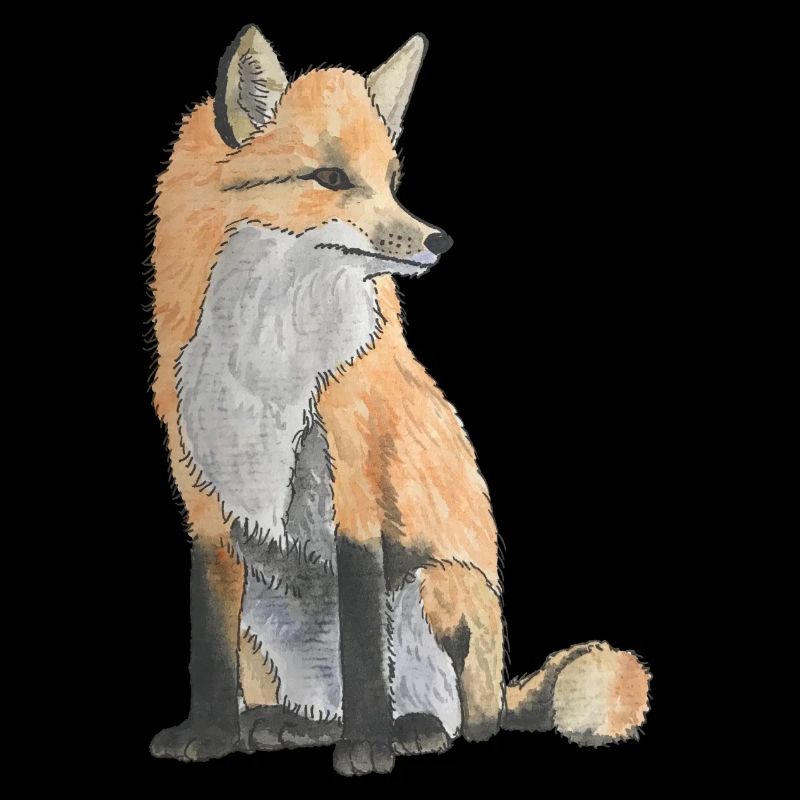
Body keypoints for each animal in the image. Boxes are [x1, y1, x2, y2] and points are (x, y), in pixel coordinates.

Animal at [148, 25, 650, 775]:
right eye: (331, 178)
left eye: (390, 181)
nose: (438, 241)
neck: (266, 352)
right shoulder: (206, 503)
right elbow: (208, 643)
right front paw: (208, 735)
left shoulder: (354, 484)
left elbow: (363, 643)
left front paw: (368, 747)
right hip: (263, 613)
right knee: (310, 708)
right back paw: (279, 725)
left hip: (437, 590)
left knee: (466, 721)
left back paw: (407, 728)